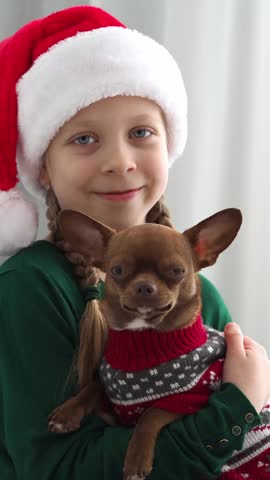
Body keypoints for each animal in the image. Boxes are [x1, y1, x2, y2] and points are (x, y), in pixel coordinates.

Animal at [46, 210, 268, 480]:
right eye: (117, 270)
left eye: (177, 271)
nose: (144, 286)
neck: (145, 339)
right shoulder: (114, 407)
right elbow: (93, 387)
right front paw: (68, 411)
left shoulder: (190, 402)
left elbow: (151, 414)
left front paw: (136, 459)